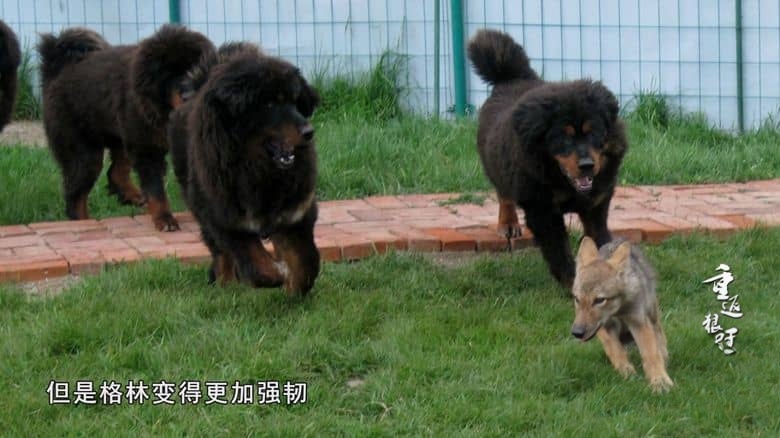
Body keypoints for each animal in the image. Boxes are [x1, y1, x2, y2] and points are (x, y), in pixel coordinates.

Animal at [571, 237, 674, 393]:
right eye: (577, 299)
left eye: (599, 300)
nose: (577, 332)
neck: (618, 312)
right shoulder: (603, 327)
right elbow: (615, 350)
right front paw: (626, 371)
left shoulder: (638, 321)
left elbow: (651, 353)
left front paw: (659, 381)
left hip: (652, 312)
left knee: (658, 332)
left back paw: (664, 354)